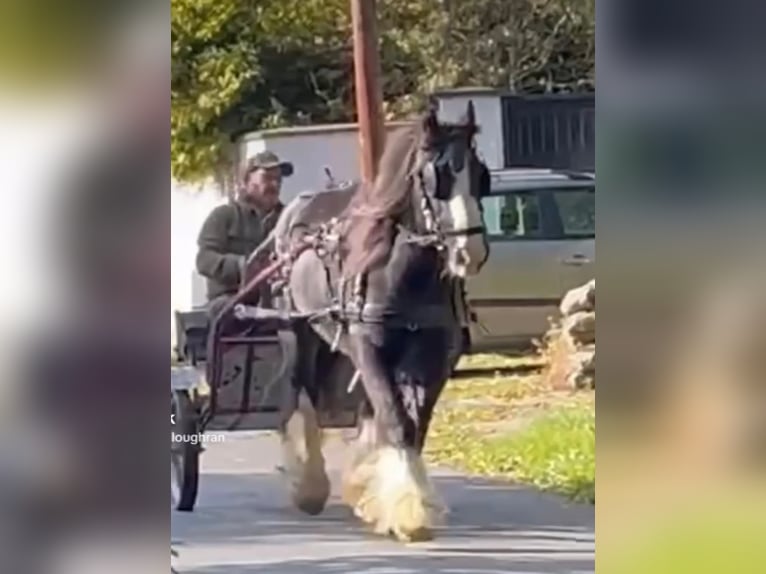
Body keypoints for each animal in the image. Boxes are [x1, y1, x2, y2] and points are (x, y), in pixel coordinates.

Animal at [270, 104, 488, 544]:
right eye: (434, 177)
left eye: (480, 174)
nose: (468, 251)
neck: (404, 274)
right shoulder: (368, 348)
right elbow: (395, 420)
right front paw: (408, 513)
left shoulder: (434, 357)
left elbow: (412, 425)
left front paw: (400, 497)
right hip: (299, 332)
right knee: (300, 394)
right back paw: (309, 485)